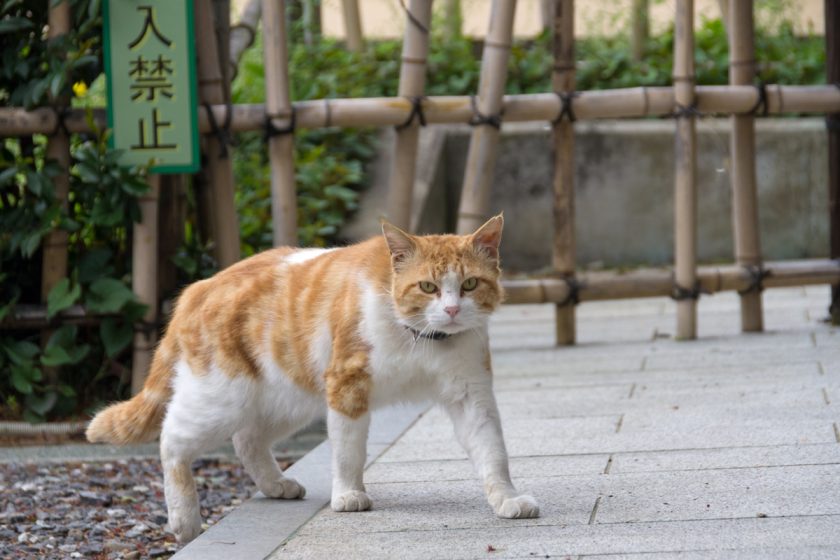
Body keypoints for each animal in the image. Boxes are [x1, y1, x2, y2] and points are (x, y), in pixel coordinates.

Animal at [87, 215, 540, 544]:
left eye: (469, 284)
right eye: (428, 287)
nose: (451, 310)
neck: (420, 340)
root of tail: (201, 286)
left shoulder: (470, 394)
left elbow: (492, 452)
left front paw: (507, 498)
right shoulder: (347, 387)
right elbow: (348, 452)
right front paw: (348, 495)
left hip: (287, 398)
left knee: (247, 440)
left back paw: (276, 485)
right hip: (222, 397)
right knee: (172, 440)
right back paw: (184, 518)